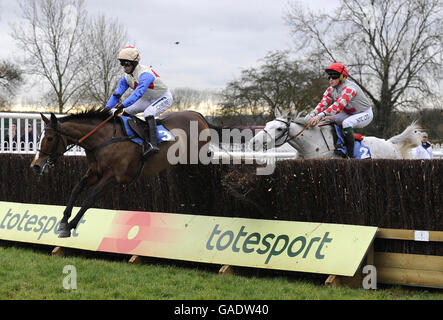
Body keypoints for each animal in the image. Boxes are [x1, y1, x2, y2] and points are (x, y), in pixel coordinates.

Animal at [30, 109, 212, 238]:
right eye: (39, 137)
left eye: (50, 138)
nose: (36, 166)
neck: (103, 140)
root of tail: (198, 114)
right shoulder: (95, 172)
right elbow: (77, 188)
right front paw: (63, 221)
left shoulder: (112, 177)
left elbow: (90, 198)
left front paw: (70, 225)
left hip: (197, 156)